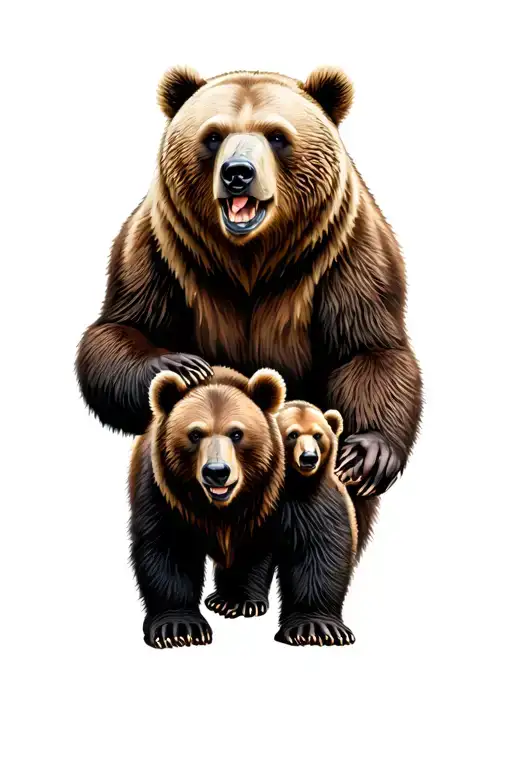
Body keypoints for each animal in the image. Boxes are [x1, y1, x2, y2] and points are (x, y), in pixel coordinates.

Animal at [77, 65, 422, 558]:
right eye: (213, 135)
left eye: (276, 136)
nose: (238, 173)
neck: (250, 260)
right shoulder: (162, 248)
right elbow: (120, 328)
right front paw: (184, 368)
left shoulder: (344, 251)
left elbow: (368, 348)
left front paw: (368, 453)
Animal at [274, 400, 356, 646]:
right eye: (292, 434)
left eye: (318, 435)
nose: (309, 457)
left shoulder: (319, 508)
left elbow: (319, 556)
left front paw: (317, 627)